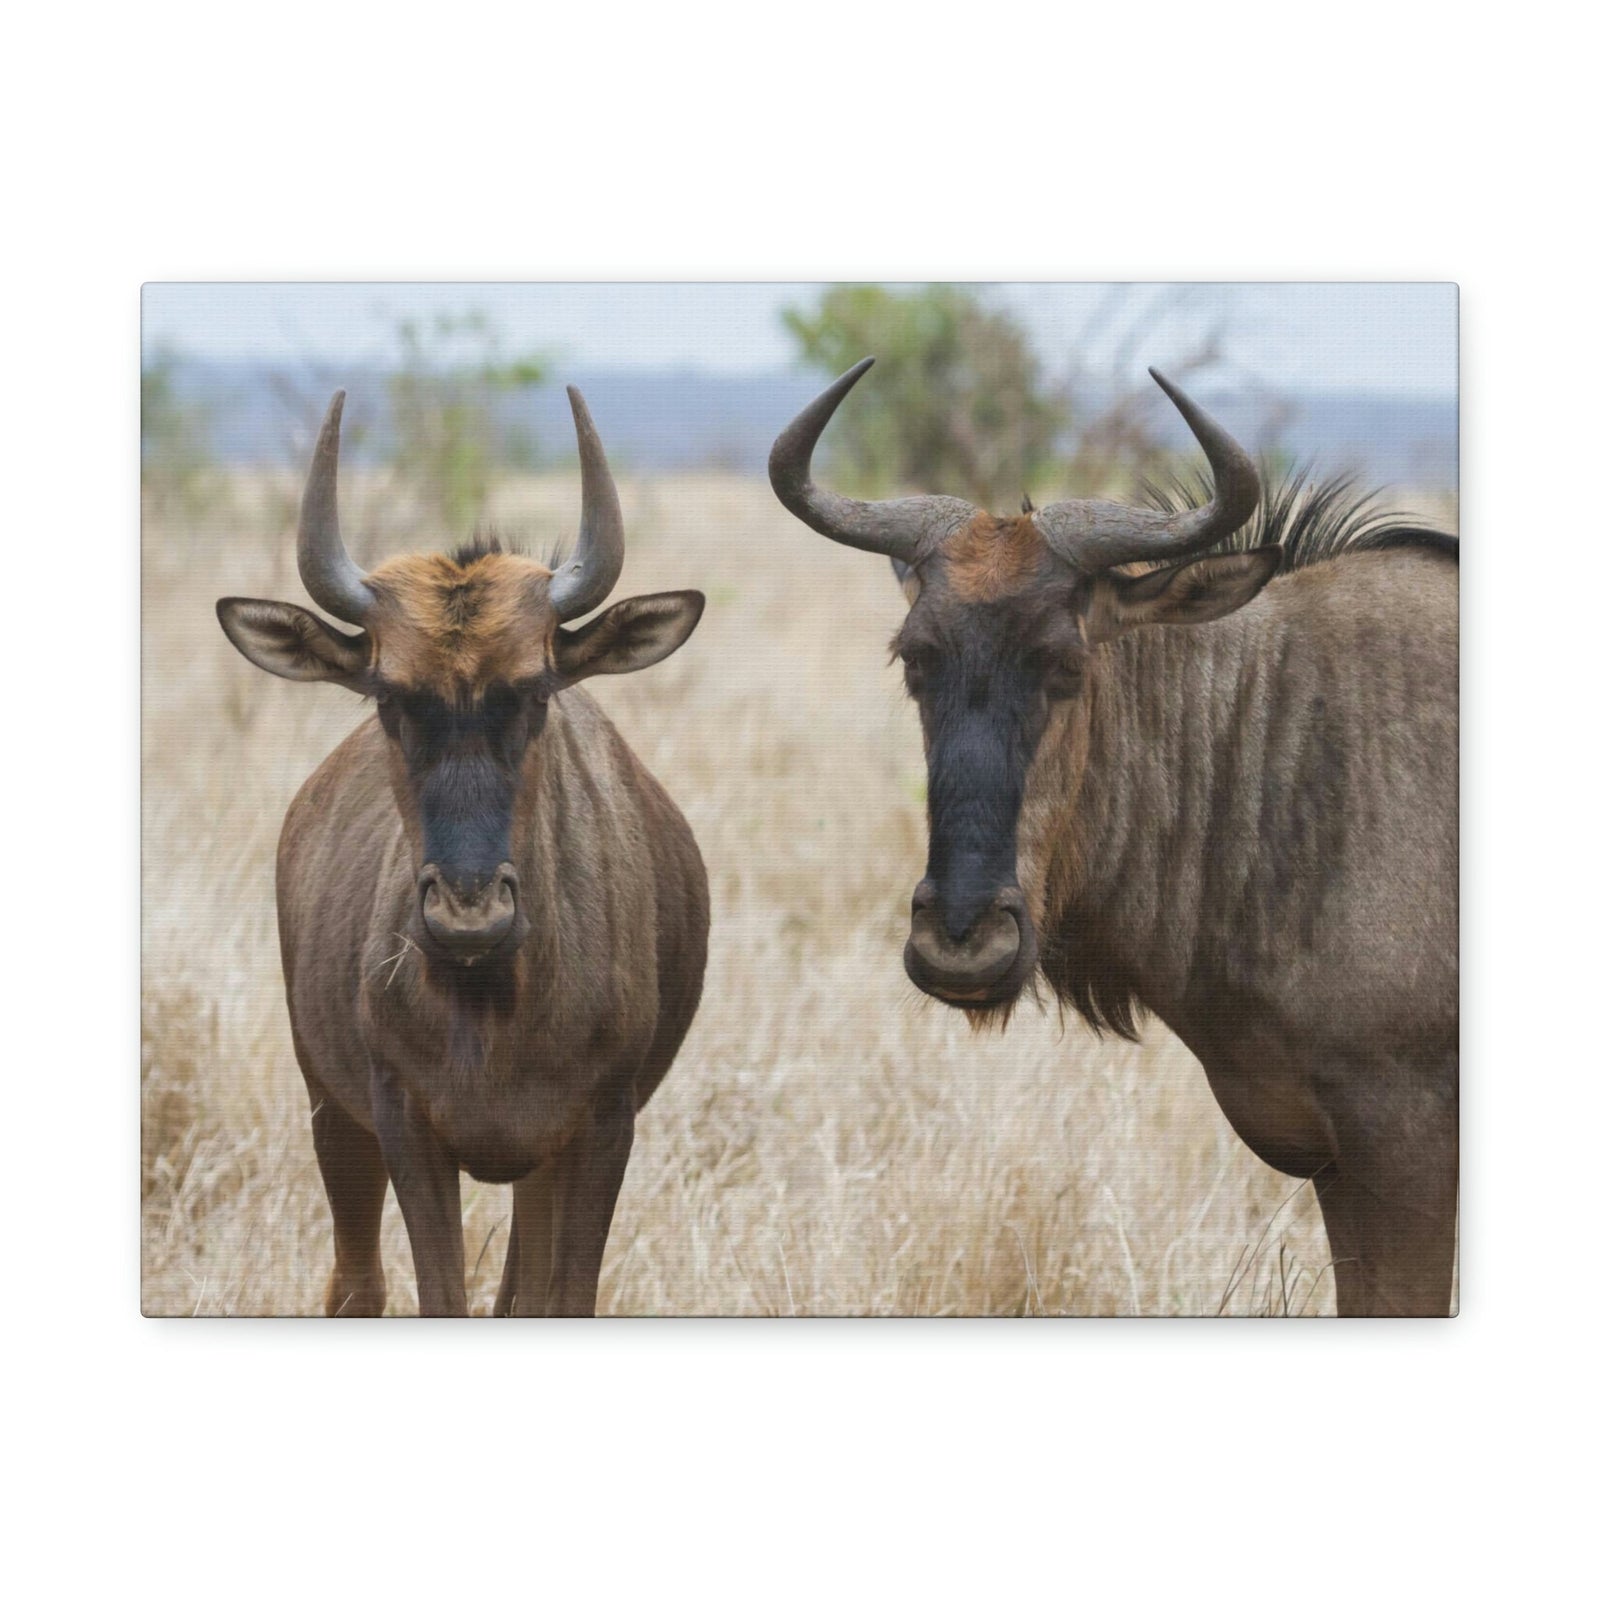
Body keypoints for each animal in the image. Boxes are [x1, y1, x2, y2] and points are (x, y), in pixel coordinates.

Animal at [217, 388, 708, 1315]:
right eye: (388, 697)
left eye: (537, 691)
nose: (468, 916)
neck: (494, 1001)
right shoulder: (405, 1127)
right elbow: (436, 1295)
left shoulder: (598, 1131)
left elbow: (561, 1299)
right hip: (332, 1113)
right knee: (357, 1285)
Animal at [770, 359, 1457, 1315]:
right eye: (916, 658)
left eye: (1065, 662)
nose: (960, 945)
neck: (1287, 746)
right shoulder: (1341, 1170)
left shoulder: (1403, 1153)